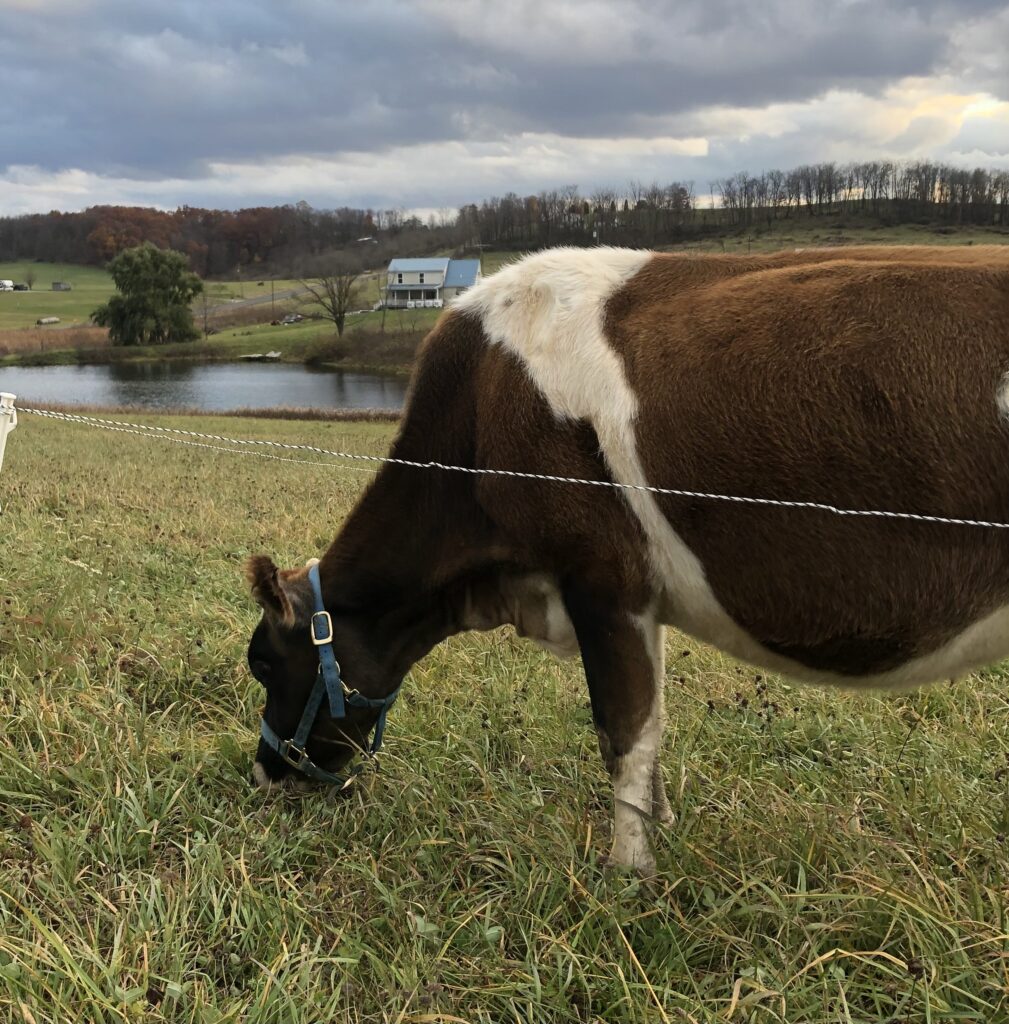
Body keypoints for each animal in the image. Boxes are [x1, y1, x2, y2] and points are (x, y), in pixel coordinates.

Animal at [246, 244, 1009, 873]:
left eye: (263, 663)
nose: (263, 772)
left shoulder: (602, 581)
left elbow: (624, 733)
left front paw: (628, 875)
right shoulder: (640, 599)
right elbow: (653, 728)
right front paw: (660, 828)